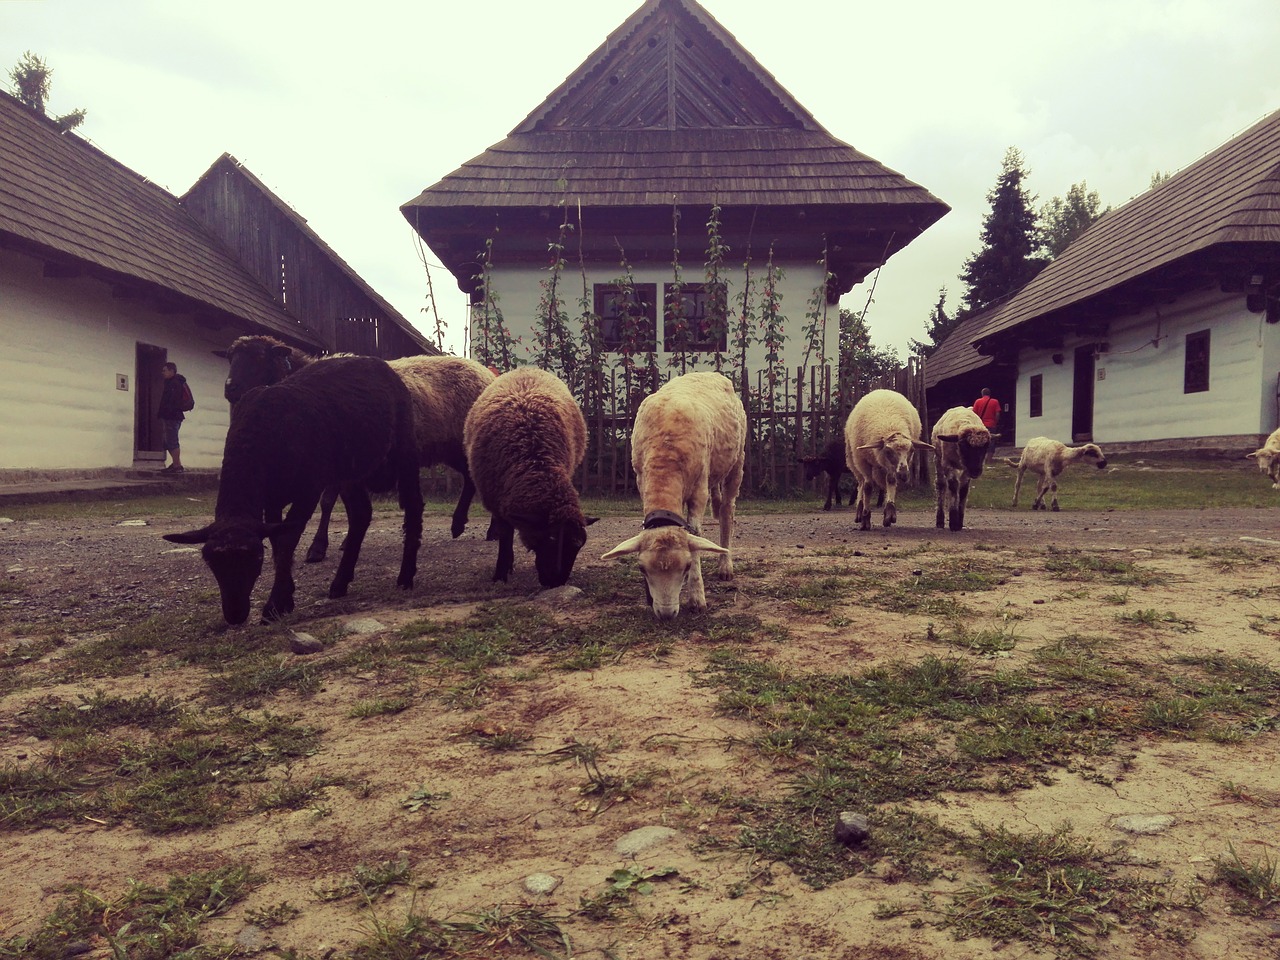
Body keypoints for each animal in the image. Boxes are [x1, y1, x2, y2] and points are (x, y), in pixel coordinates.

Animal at [162, 358, 424, 627]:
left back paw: (405, 576)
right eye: (210, 562)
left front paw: (275, 604)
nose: (235, 616)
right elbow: (278, 541)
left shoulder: (308, 489)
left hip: (404, 447)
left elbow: (288, 538)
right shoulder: (271, 498)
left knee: (414, 505)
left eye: (256, 559)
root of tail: (378, 363)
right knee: (361, 514)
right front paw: (286, 596)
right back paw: (340, 583)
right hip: (350, 470)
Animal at [463, 368, 596, 591]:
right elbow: (506, 536)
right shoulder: (499, 501)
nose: (555, 583)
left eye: (577, 547)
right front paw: (501, 573)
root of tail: (527, 368)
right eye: (548, 539)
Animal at [601, 371, 747, 619]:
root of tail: (709, 372)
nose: (667, 614)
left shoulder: (699, 490)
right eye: (641, 568)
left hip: (737, 461)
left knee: (727, 511)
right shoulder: (641, 481)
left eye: (686, 567)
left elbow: (695, 533)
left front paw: (697, 597)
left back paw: (725, 566)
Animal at [844, 386, 936, 529]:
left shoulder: (893, 467)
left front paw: (889, 513)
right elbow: (867, 487)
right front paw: (865, 518)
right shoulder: (862, 461)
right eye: (887, 451)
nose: (904, 476)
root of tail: (881, 389)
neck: (889, 424)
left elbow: (891, 481)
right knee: (861, 483)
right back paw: (859, 510)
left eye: (912, 450)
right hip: (853, 461)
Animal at [936, 401, 993, 529]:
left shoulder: (967, 470)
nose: (976, 471)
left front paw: (959, 522)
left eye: (986, 447)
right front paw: (953, 521)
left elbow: (963, 490)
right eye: (963, 446)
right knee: (941, 485)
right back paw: (940, 520)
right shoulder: (948, 464)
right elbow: (953, 486)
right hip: (938, 458)